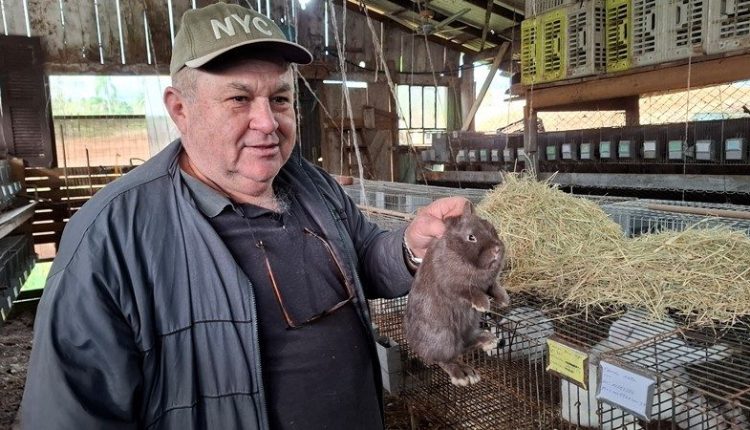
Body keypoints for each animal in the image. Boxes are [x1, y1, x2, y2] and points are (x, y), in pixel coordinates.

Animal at [406, 202, 512, 386]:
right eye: (471, 237)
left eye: (491, 228)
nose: (497, 249)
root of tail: (416, 346)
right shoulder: (453, 284)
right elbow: (469, 291)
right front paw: (483, 304)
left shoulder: (489, 283)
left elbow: (494, 287)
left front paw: (504, 300)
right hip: (444, 337)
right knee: (444, 358)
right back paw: (464, 374)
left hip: (469, 327)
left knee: (465, 345)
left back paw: (488, 340)